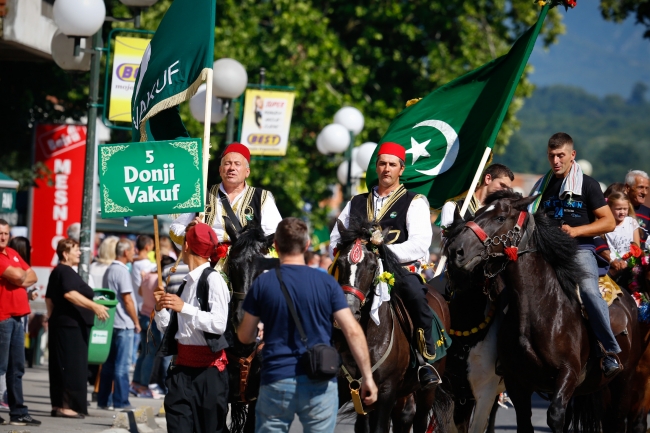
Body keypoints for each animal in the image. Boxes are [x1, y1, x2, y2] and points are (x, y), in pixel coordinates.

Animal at [446, 192, 636, 432]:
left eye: (500, 217)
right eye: (476, 214)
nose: (456, 250)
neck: (540, 310)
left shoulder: (568, 373)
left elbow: (555, 416)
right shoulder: (515, 381)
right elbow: (524, 421)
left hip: (624, 382)